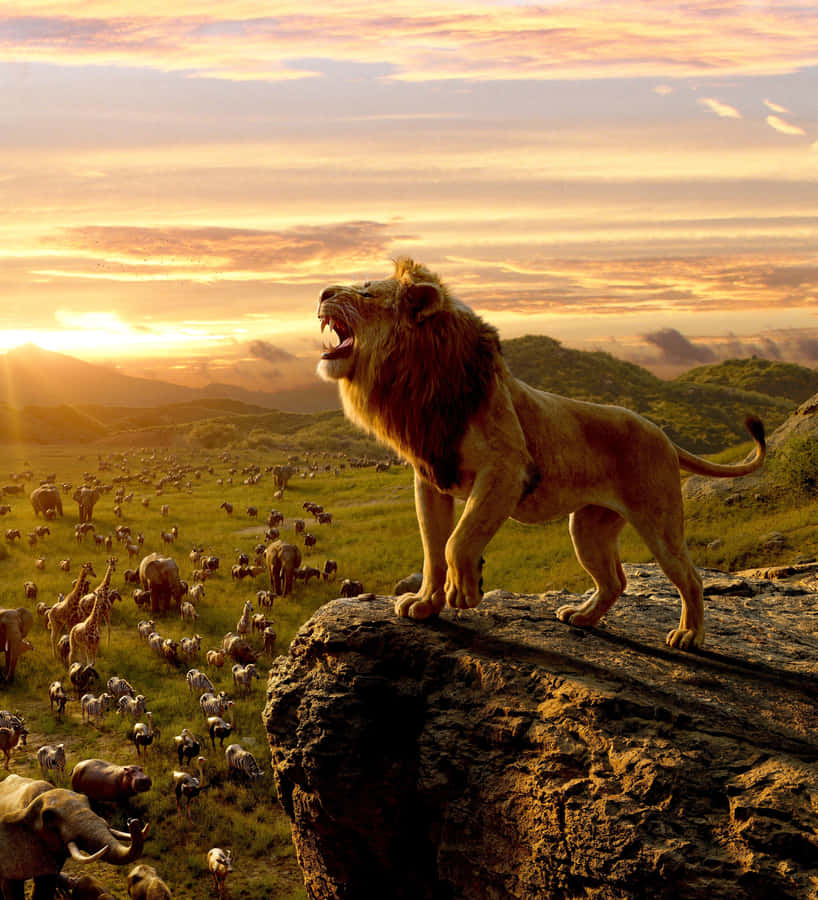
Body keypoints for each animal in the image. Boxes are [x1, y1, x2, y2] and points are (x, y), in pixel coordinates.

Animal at [317, 258, 766, 650]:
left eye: (366, 292)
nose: (322, 292)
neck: (416, 381)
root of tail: (664, 436)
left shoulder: (507, 469)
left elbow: (458, 541)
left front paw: (465, 592)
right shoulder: (430, 477)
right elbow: (432, 549)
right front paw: (426, 604)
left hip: (659, 521)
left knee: (690, 577)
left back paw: (689, 636)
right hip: (588, 527)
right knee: (615, 580)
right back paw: (582, 617)